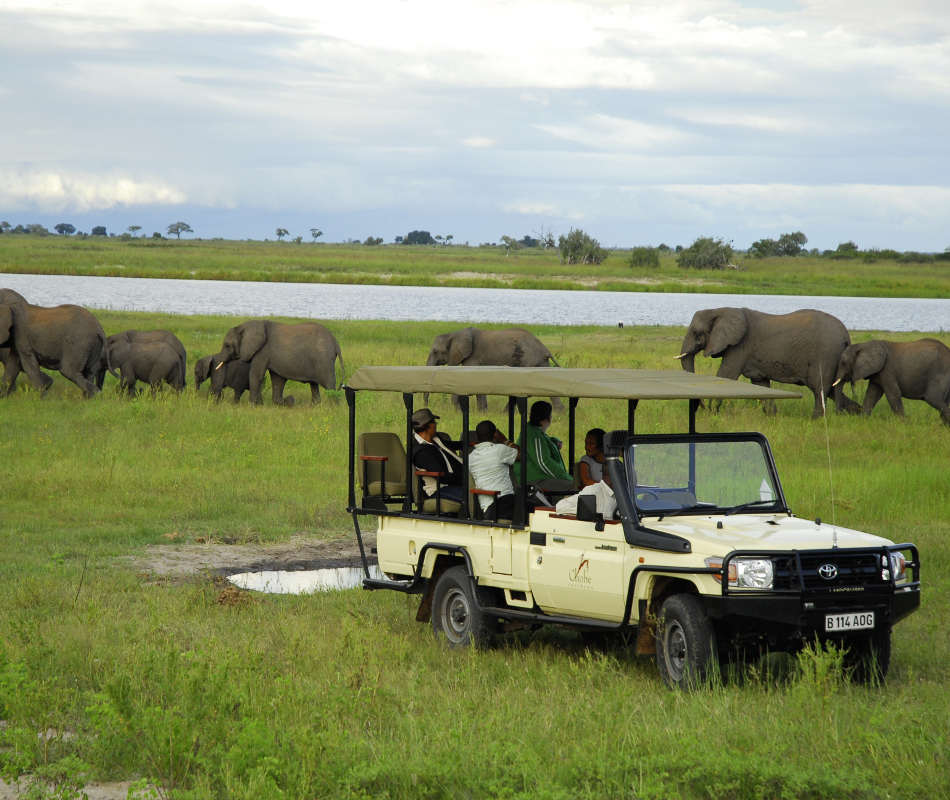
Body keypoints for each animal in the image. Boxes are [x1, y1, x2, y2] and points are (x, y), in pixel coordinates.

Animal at [214, 318, 344, 406]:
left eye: (227, 345)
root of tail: (335, 342)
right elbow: (278, 380)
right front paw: (285, 402)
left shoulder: (262, 351)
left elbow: (256, 375)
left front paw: (252, 406)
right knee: (314, 385)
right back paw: (315, 406)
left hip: (324, 360)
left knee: (329, 385)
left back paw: (333, 408)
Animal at [422, 326, 556, 410]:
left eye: (435, 351)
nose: (426, 406)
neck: (454, 333)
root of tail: (545, 349)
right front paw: (482, 412)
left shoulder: (474, 357)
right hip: (541, 363)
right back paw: (559, 414)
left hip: (528, 360)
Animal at [676, 306, 864, 418]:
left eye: (696, 334)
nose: (700, 407)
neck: (720, 309)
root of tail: (846, 336)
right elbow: (761, 384)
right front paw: (772, 417)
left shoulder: (740, 346)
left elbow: (726, 376)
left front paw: (712, 415)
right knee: (831, 389)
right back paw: (858, 413)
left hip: (826, 355)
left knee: (820, 389)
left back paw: (815, 420)